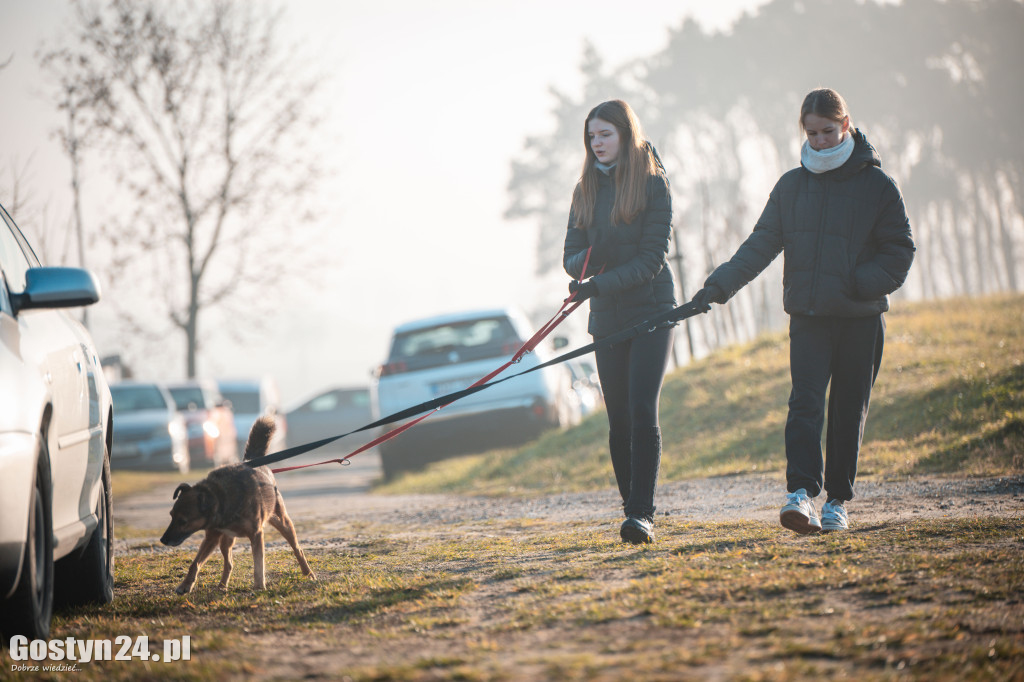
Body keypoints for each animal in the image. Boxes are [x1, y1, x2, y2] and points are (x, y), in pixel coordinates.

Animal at [159, 411, 315, 593]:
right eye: (171, 515)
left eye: (183, 521)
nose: (163, 540)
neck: (221, 497)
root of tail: (252, 460)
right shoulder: (211, 537)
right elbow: (195, 563)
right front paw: (185, 585)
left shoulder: (256, 535)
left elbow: (258, 565)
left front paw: (259, 587)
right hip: (225, 541)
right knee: (229, 564)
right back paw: (221, 586)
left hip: (282, 523)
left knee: (298, 549)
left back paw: (308, 573)